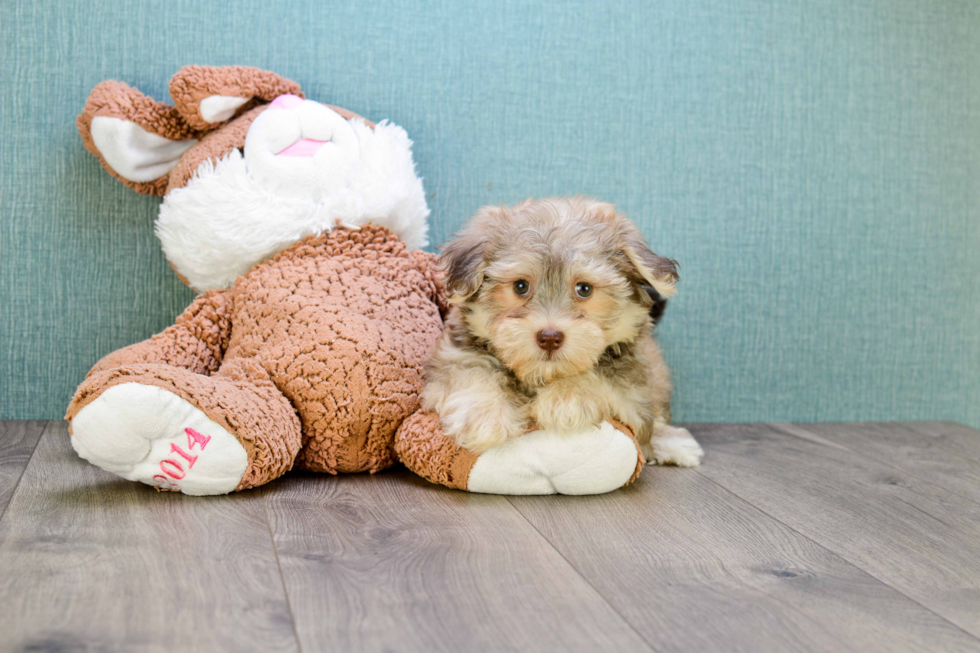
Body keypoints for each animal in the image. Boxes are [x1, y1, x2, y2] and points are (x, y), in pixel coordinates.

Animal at [422, 196, 704, 466]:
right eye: (520, 286)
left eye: (584, 289)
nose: (549, 338)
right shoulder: (453, 356)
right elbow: (470, 372)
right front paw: (483, 414)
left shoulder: (634, 392)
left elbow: (603, 376)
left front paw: (567, 397)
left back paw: (674, 444)